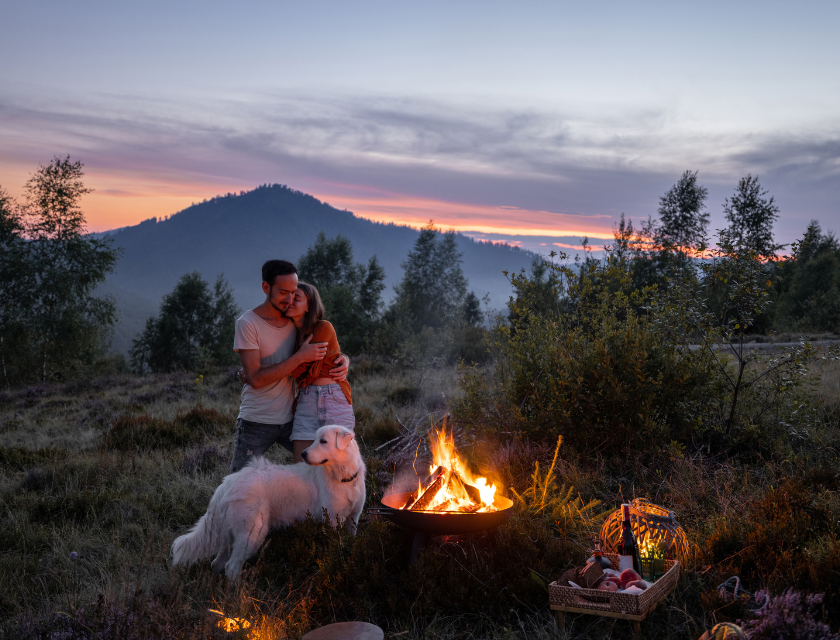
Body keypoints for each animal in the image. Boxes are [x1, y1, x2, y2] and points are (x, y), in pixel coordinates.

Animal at [171, 424, 364, 580]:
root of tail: (227, 483)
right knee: (231, 567)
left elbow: (351, 541)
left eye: (323, 441)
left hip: (234, 532)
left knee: (218, 562)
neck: (343, 477)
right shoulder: (331, 520)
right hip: (253, 532)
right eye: (315, 440)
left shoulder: (353, 519)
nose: (303, 454)